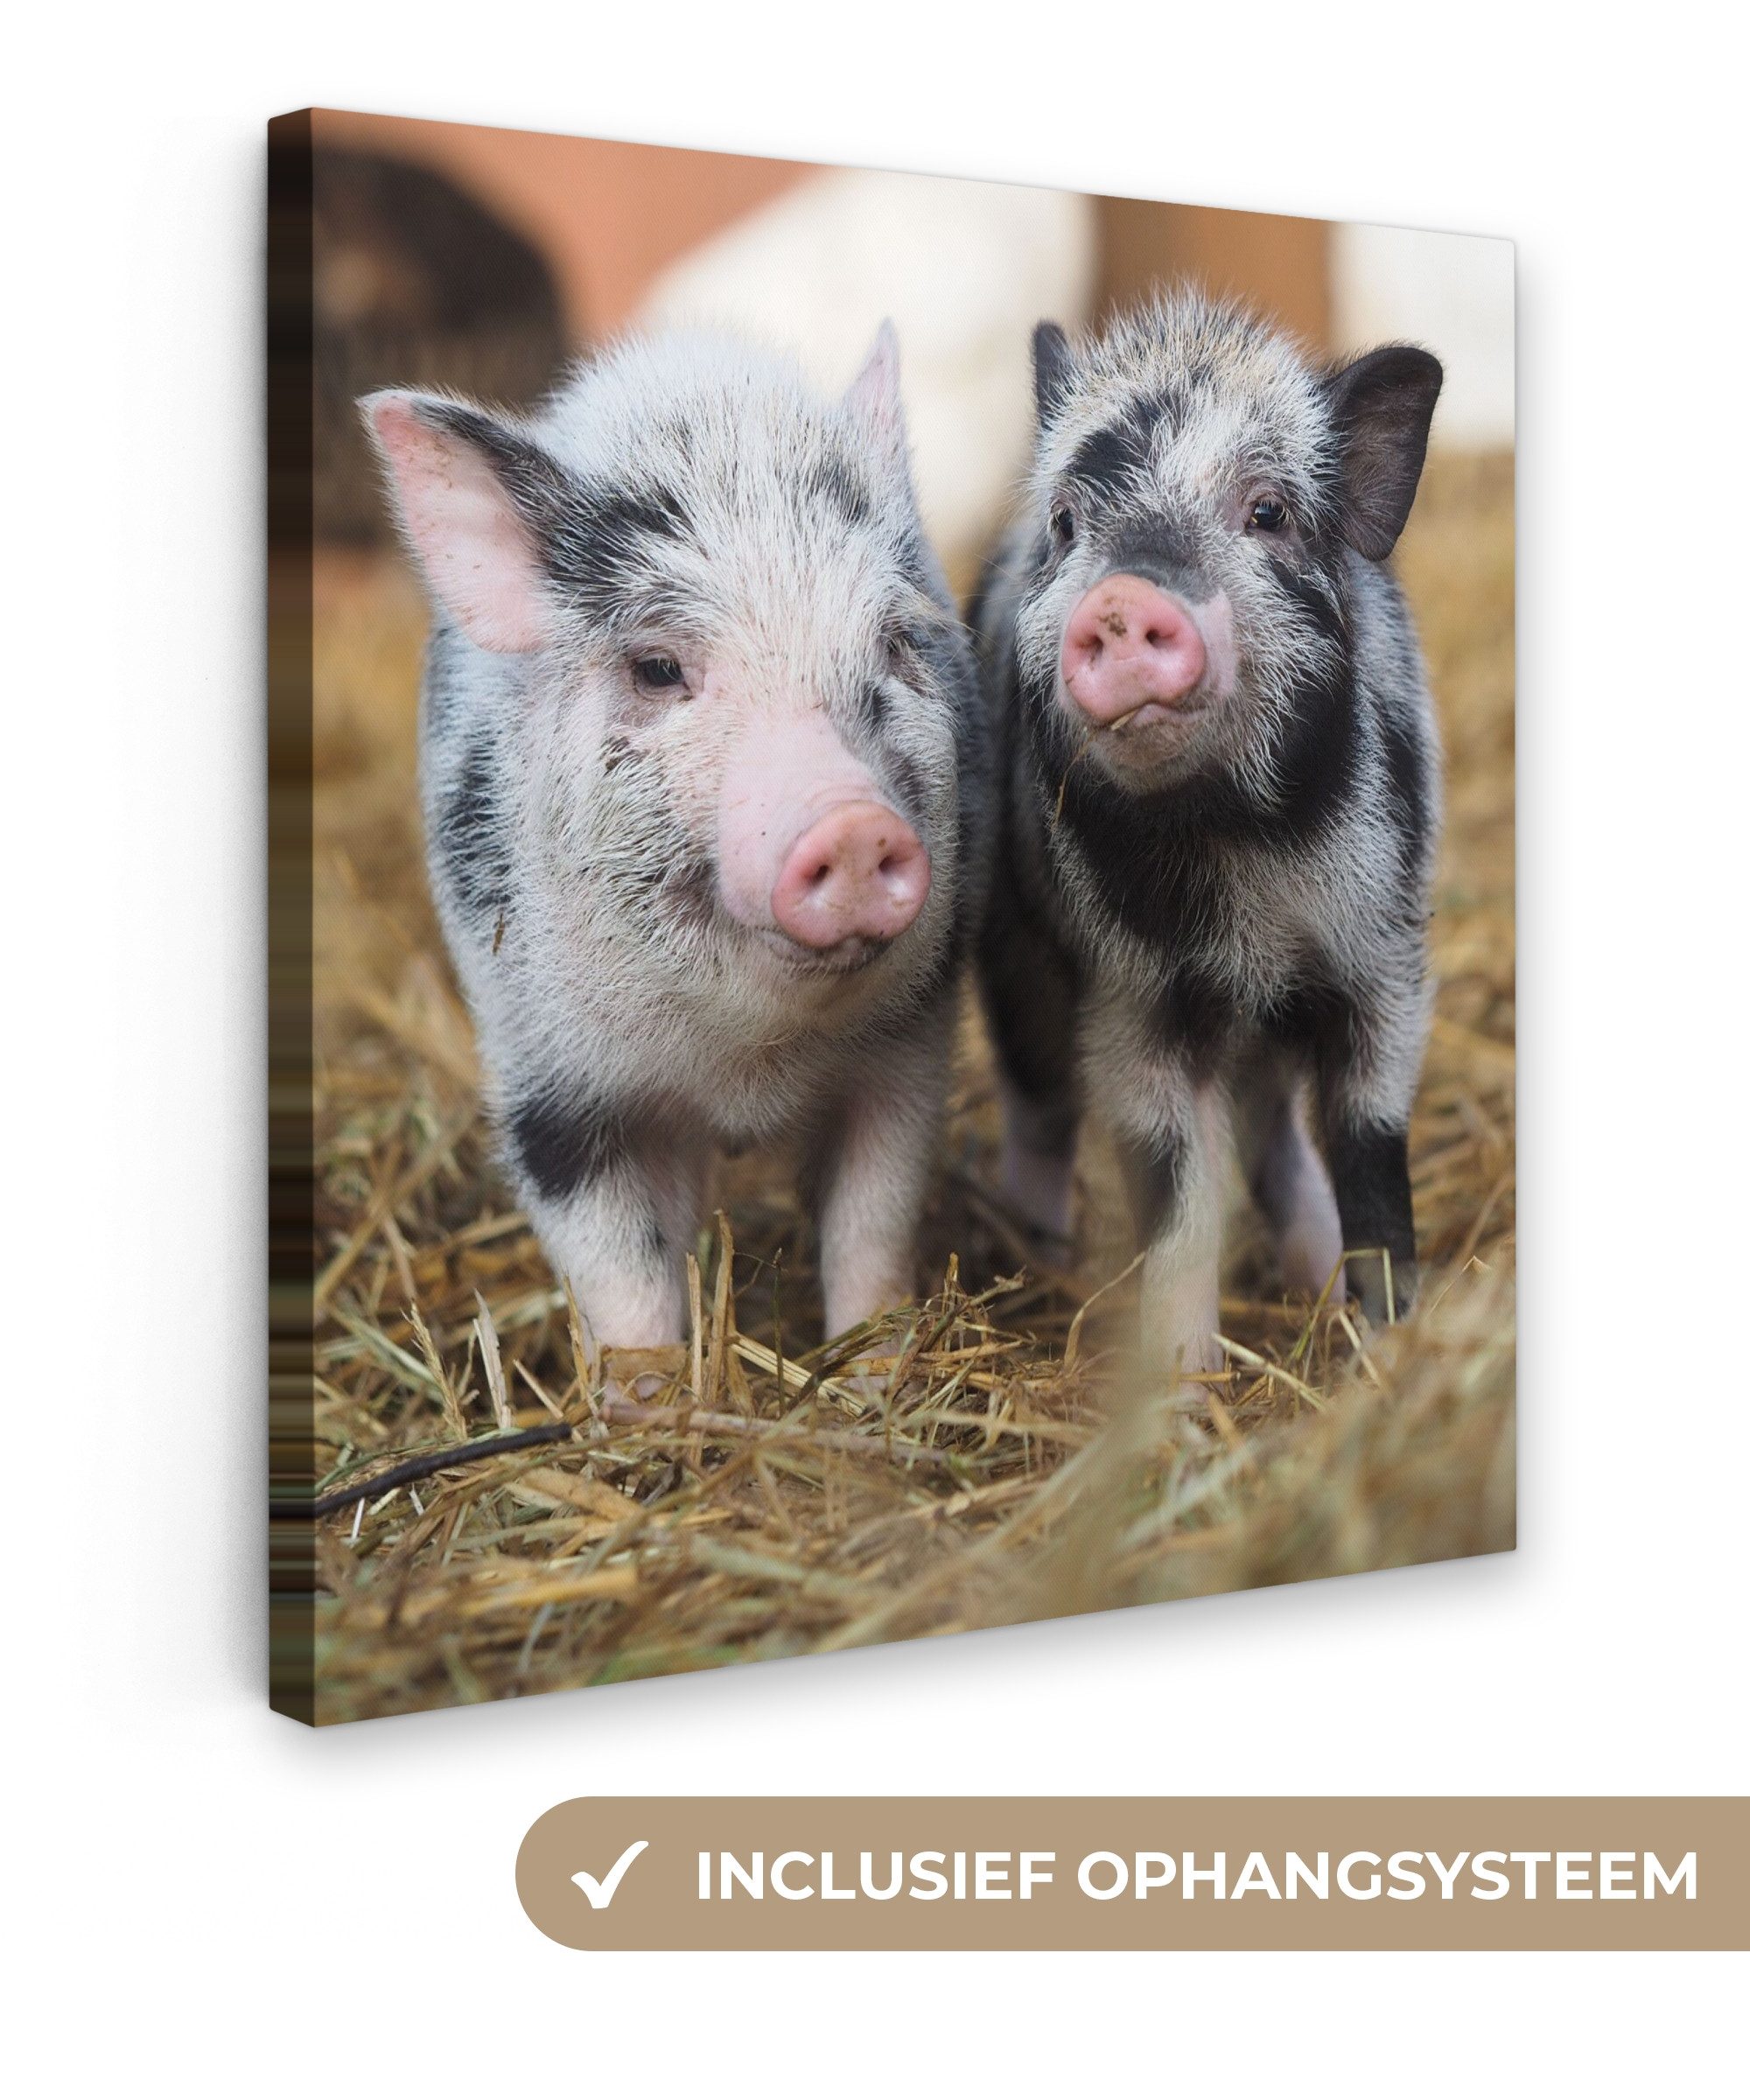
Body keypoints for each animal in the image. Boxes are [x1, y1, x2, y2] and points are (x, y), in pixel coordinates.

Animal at [362, 326, 990, 1354]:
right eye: (657, 668)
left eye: (896, 644)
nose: (854, 825)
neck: (745, 1064)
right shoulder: (546, 1083)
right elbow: (622, 1281)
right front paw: (648, 1389)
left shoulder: (909, 1047)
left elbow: (872, 1225)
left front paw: (873, 1361)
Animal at [973, 289, 1442, 1384]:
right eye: (1067, 522)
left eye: (1265, 512)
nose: (1121, 600)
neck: (1244, 859)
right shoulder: (1132, 999)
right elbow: (1175, 1190)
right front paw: (1184, 1384)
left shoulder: (1381, 964)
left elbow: (1368, 1148)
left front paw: (1387, 1343)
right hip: (1014, 957)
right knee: (1037, 1105)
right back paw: (1041, 1254)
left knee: (1276, 1138)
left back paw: (1311, 1278)